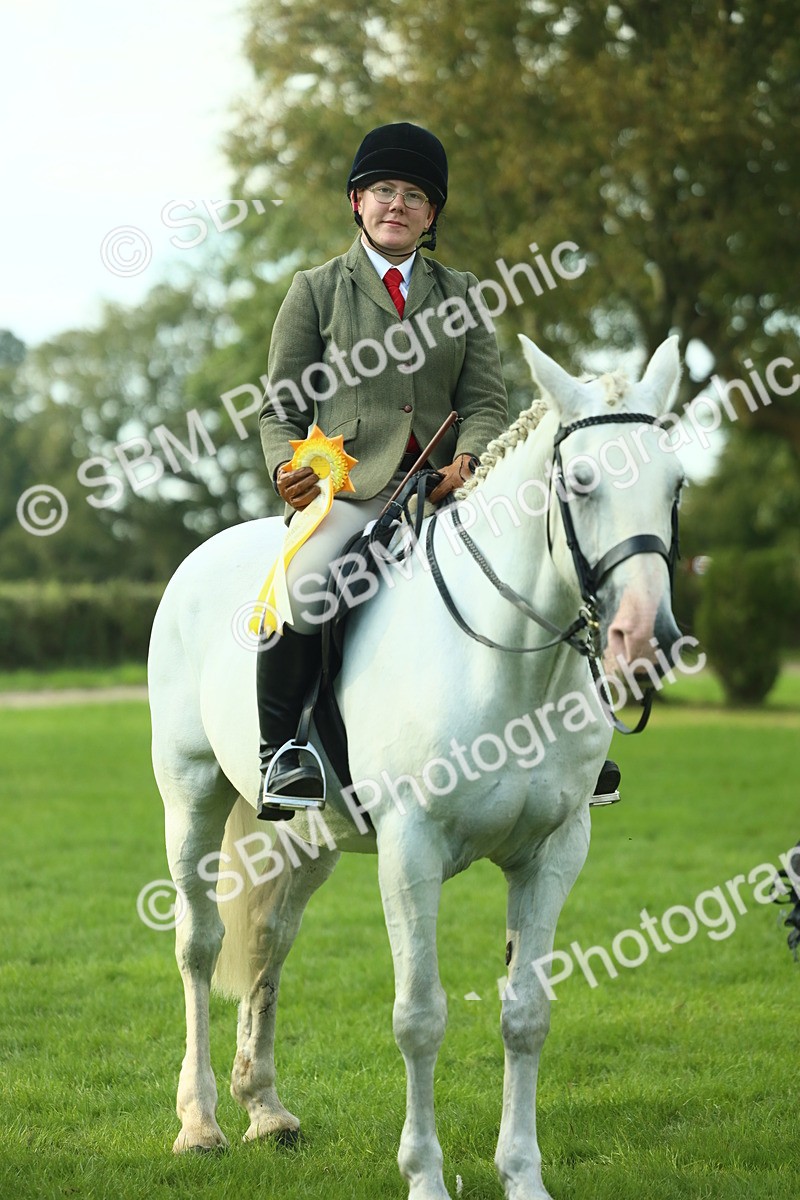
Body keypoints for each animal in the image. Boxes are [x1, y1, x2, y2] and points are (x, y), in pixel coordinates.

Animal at [148, 334, 684, 1200]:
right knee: (199, 945)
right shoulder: (411, 852)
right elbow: (420, 1018)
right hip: (191, 796)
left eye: (677, 484)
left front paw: (522, 1175)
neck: (508, 661)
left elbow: (526, 1014)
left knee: (267, 942)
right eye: (581, 481)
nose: (647, 639)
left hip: (308, 837)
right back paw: (201, 1125)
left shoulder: (555, 853)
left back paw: (266, 1110)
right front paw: (426, 1176)